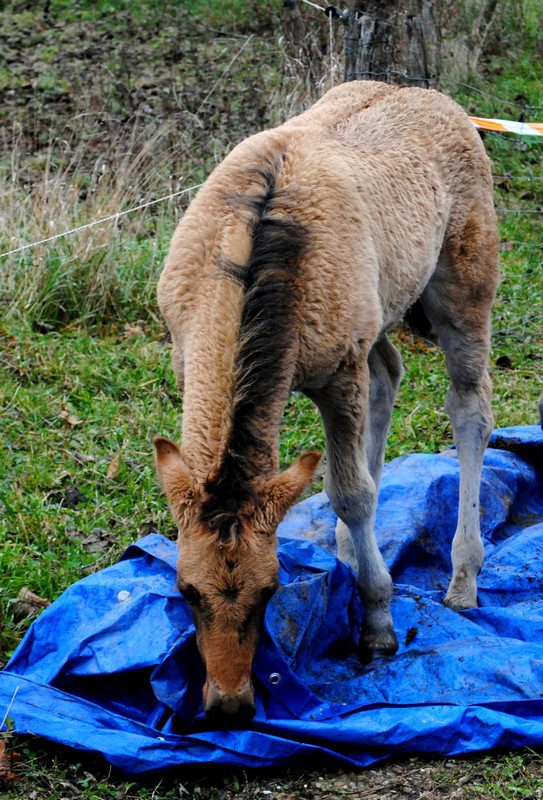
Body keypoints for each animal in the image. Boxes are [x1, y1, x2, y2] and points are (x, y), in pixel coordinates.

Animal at [155, 79, 500, 724]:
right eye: (186, 590)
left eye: (270, 590)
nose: (229, 705)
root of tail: (431, 96)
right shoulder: (191, 365)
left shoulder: (339, 373)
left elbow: (352, 493)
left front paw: (378, 623)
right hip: (380, 310)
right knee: (389, 375)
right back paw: (346, 550)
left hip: (464, 282)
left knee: (470, 407)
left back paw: (463, 577)